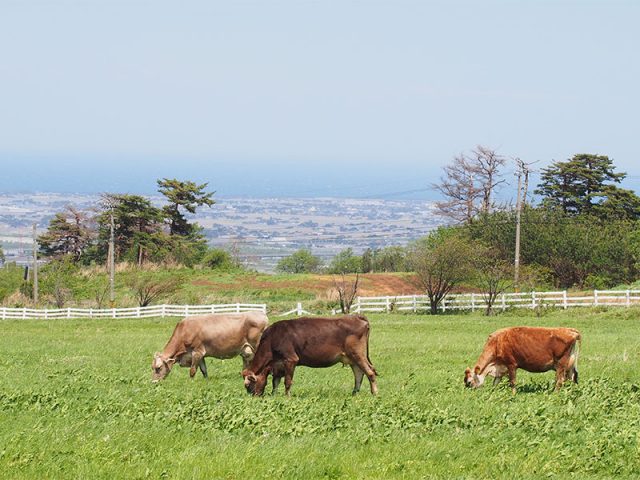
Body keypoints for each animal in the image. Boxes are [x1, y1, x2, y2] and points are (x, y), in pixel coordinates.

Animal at [242, 314, 378, 396]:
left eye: (248, 385)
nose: (253, 397)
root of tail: (356, 316)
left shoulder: (291, 359)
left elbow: (287, 381)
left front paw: (287, 397)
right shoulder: (277, 365)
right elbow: (275, 382)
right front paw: (274, 395)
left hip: (357, 353)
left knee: (370, 372)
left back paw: (374, 393)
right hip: (352, 358)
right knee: (359, 373)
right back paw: (354, 393)